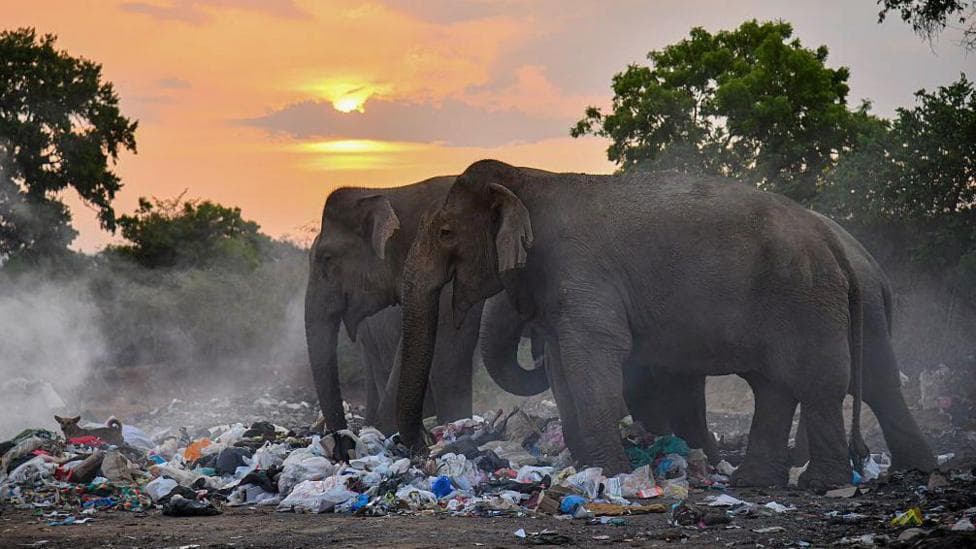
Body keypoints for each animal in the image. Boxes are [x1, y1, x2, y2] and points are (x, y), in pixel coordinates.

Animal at [397, 159, 867, 489]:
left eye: (445, 232)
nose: (422, 446)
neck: (526, 177)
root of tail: (833, 239)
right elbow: (563, 368)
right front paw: (590, 469)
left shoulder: (581, 269)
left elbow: (593, 357)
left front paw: (608, 475)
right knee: (773, 386)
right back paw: (753, 483)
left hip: (805, 297)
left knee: (816, 381)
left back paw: (820, 484)